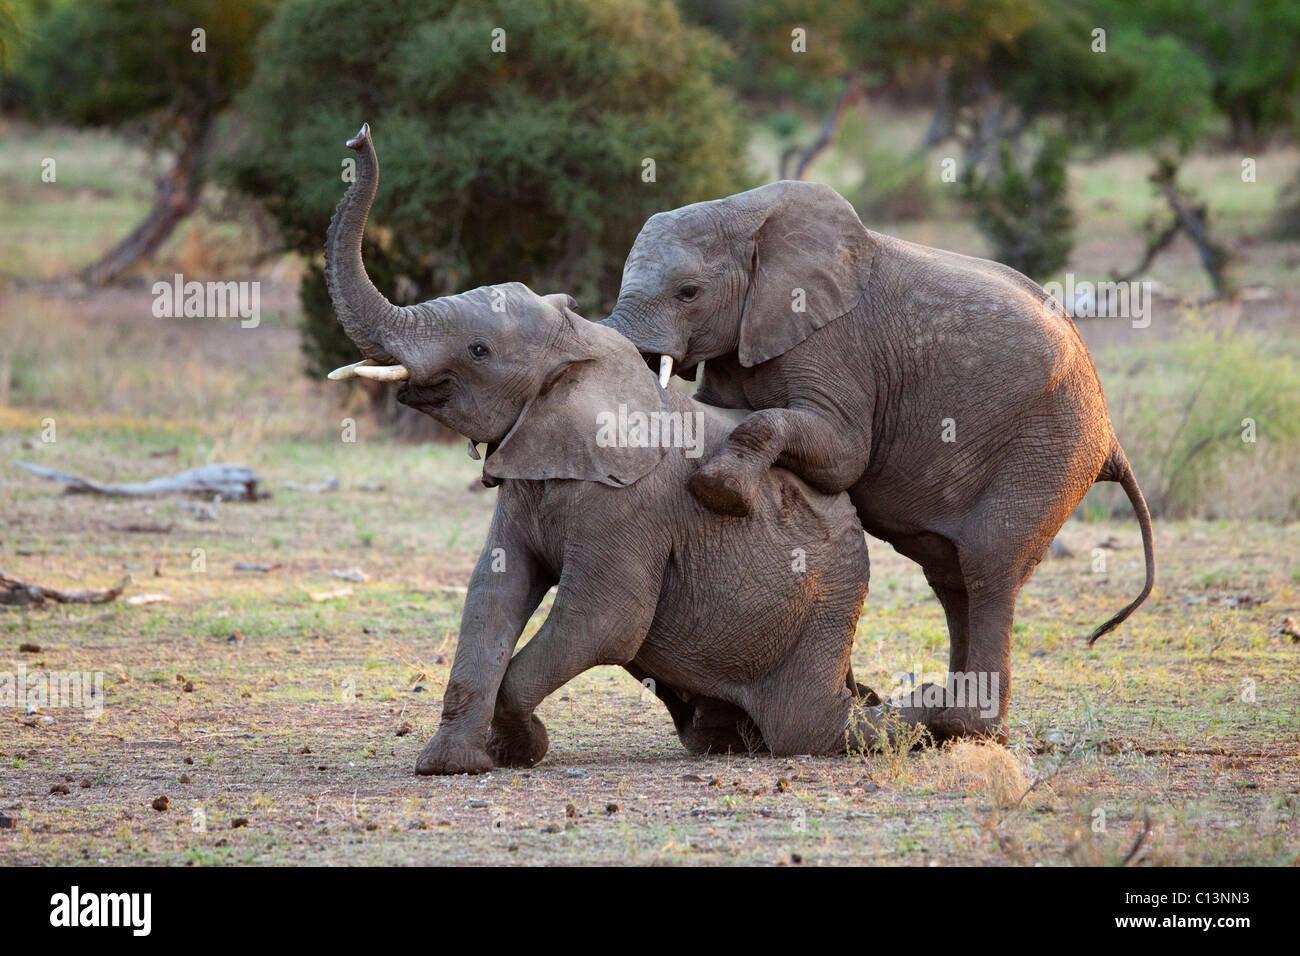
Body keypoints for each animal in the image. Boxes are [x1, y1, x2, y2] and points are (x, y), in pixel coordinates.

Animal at [325, 127, 894, 775]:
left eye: (478, 351)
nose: (358, 137)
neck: (582, 347)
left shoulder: (633, 505)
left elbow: (602, 620)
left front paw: (518, 747)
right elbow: (493, 593)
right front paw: (455, 764)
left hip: (824, 604)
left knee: (810, 726)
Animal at [598, 180, 1159, 749]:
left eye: (688, 292)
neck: (749, 214)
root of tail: (1110, 438)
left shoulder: (834, 345)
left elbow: (843, 455)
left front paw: (720, 489)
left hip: (1050, 450)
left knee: (990, 566)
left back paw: (968, 729)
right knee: (951, 577)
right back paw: (945, 718)